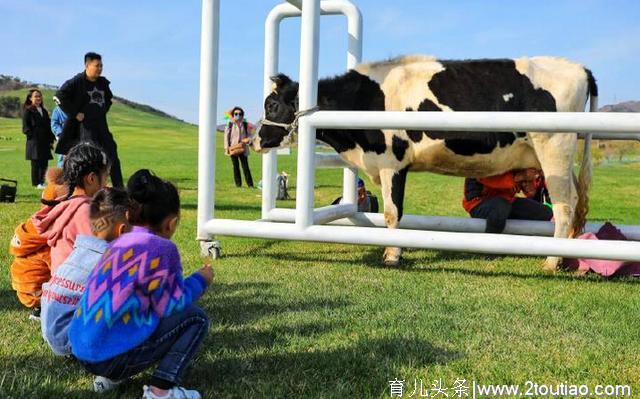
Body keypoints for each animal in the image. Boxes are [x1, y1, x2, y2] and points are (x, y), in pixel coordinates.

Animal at [252, 54, 596, 270]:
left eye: (272, 105)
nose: (256, 140)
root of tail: (579, 68)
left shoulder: (392, 162)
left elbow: (393, 214)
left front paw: (393, 255)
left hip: (554, 149)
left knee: (564, 206)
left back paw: (552, 260)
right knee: (575, 201)